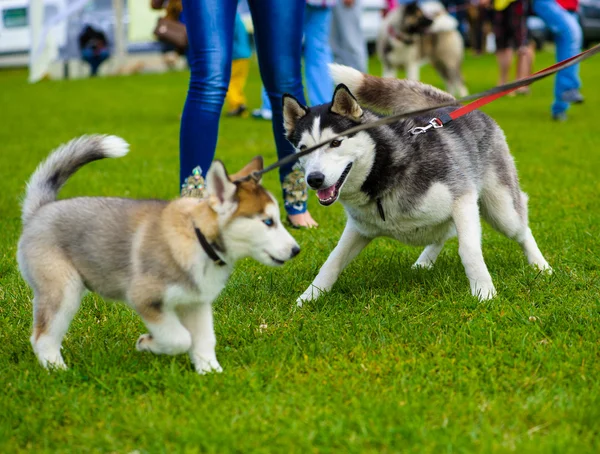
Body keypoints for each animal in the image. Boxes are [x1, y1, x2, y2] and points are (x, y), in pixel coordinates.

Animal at [17, 137, 300, 374]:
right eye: (268, 221)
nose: (296, 250)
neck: (198, 238)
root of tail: (40, 209)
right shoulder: (146, 299)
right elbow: (180, 338)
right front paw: (147, 343)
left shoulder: (196, 303)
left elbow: (205, 339)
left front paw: (210, 371)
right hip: (64, 289)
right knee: (42, 336)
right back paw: (57, 370)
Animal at [284, 64, 552, 306]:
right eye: (303, 149)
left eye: (335, 143)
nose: (314, 179)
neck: (382, 173)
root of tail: (454, 105)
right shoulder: (359, 229)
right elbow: (332, 261)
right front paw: (308, 298)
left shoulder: (462, 197)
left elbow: (469, 250)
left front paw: (484, 292)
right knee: (443, 232)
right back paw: (425, 261)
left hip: (501, 209)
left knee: (521, 229)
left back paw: (541, 266)